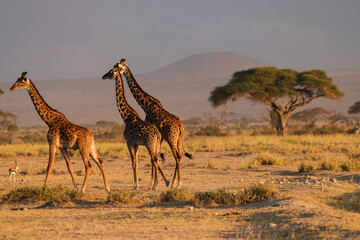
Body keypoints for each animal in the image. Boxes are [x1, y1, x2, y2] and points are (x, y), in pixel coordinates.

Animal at [101, 62, 169, 191]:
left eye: (111, 72)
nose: (103, 76)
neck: (126, 116)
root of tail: (157, 134)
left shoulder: (129, 142)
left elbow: (132, 162)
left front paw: (135, 186)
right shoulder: (136, 144)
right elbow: (136, 162)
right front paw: (136, 184)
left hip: (149, 144)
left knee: (154, 160)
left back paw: (158, 185)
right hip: (155, 144)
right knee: (155, 159)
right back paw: (160, 183)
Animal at [117, 58, 191, 188]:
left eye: (120, 67)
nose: (115, 71)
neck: (146, 105)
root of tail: (180, 126)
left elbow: (153, 158)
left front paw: (152, 183)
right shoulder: (159, 138)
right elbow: (155, 157)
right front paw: (156, 182)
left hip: (171, 139)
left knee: (177, 156)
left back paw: (175, 183)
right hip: (179, 139)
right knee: (179, 156)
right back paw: (176, 182)